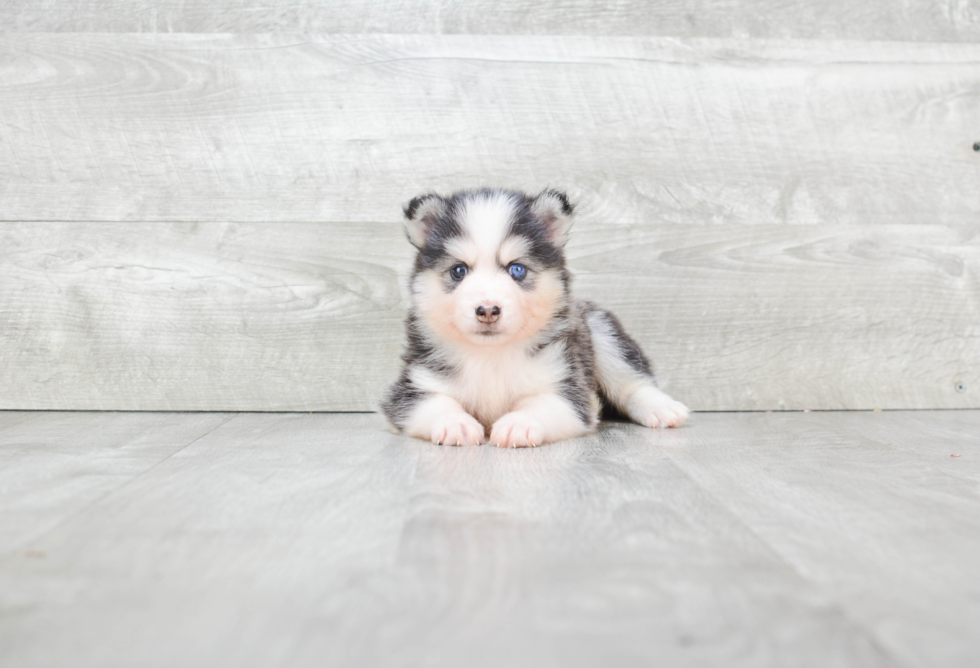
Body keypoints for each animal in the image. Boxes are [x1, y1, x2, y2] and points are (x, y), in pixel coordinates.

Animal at [382, 188, 688, 448]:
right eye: (459, 271)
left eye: (517, 269)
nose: (488, 310)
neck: (491, 356)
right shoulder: (411, 387)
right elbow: (434, 403)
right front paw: (455, 423)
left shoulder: (567, 389)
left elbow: (542, 405)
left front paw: (519, 423)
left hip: (600, 330)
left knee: (632, 383)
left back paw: (663, 408)